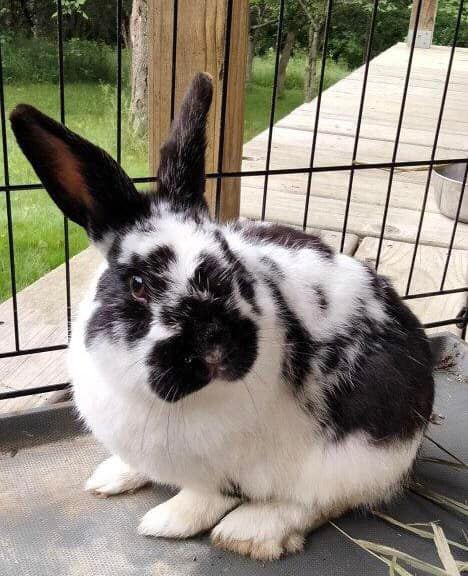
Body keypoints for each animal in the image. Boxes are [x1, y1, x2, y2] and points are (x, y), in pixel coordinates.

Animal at [10, 73, 436, 564]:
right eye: (138, 284)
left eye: (234, 268)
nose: (215, 348)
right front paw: (111, 478)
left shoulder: (228, 464)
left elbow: (209, 495)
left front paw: (167, 523)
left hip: (354, 453)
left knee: (321, 500)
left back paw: (249, 531)